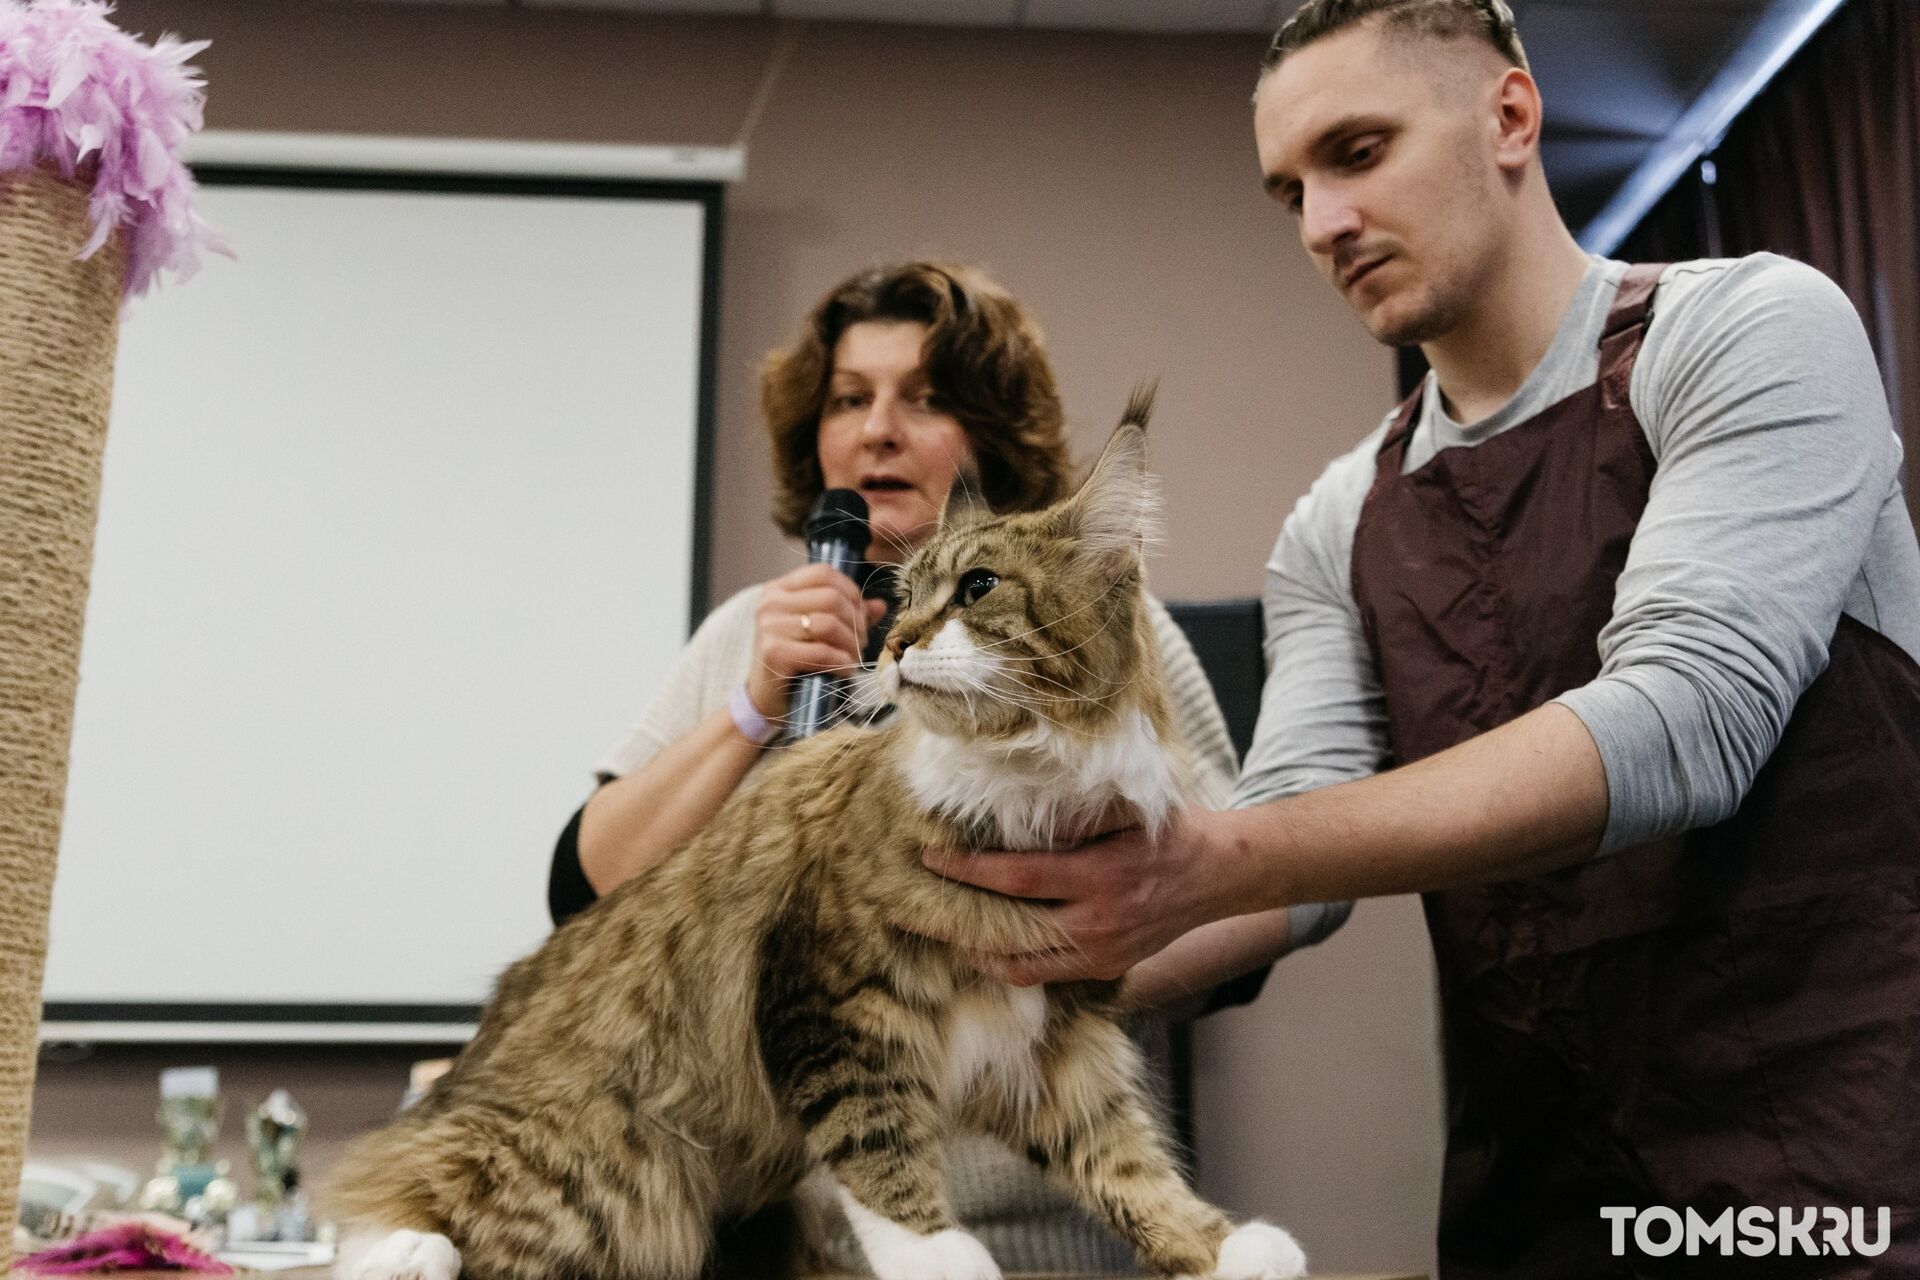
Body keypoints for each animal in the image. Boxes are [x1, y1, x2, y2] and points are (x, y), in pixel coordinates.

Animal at [318, 393, 1305, 1280]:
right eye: (901, 598)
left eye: (978, 588)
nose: (894, 644)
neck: (1023, 782)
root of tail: (469, 1066)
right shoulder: (830, 1001)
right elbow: (878, 1154)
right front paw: (944, 1263)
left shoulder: (1056, 1033)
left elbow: (1124, 1157)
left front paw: (1221, 1247)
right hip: (611, 1174)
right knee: (396, 1197)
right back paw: (403, 1254)